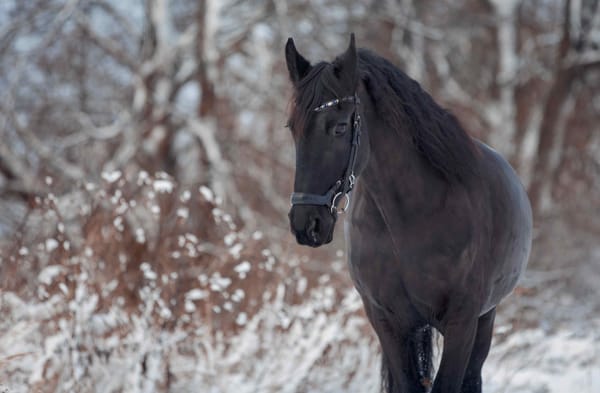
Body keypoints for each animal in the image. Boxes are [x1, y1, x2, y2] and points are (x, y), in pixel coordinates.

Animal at [284, 34, 532, 392]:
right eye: (292, 128)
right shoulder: (387, 322)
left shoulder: (463, 322)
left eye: (340, 128)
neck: (409, 221)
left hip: (486, 319)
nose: (306, 224)